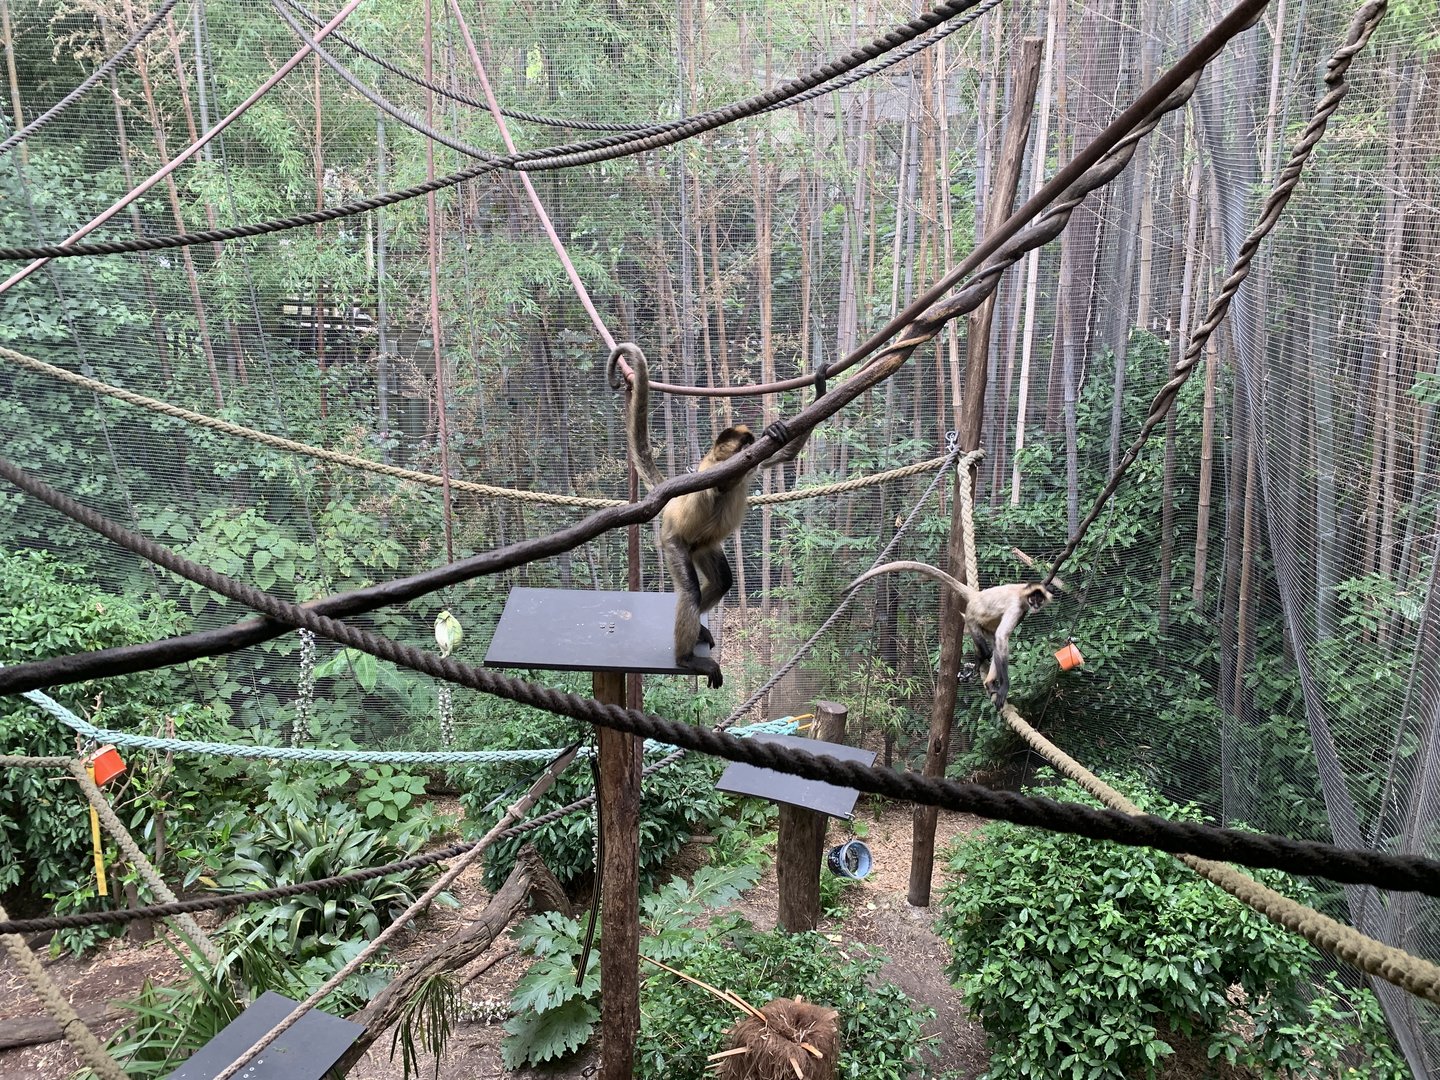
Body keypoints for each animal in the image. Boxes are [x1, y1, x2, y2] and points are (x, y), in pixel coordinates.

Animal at [608, 343, 809, 688]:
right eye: (745, 442)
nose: (753, 440)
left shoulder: (749, 465)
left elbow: (782, 454)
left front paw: (815, 391)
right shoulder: (719, 471)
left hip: (702, 547)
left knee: (723, 580)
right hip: (674, 543)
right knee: (690, 591)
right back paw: (685, 659)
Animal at [846, 560, 1053, 710]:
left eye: (1039, 598)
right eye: (1033, 598)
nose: (1036, 604)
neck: (1022, 593)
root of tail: (976, 596)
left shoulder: (1022, 610)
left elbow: (999, 640)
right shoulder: (1017, 607)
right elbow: (1002, 637)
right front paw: (1004, 689)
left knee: (993, 644)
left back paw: (986, 679)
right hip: (971, 617)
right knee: (990, 645)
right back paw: (981, 662)